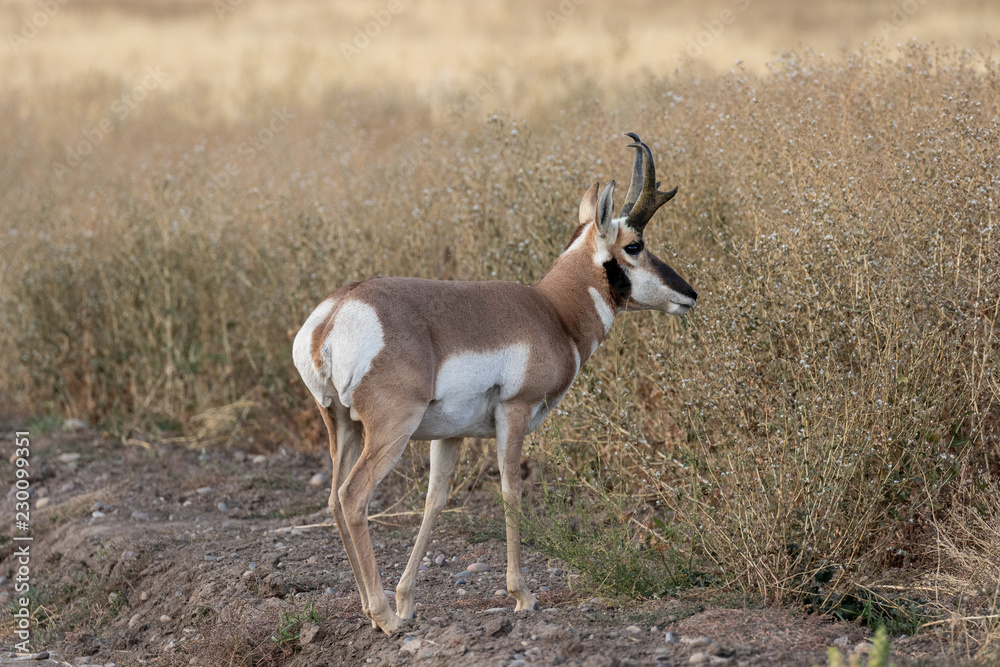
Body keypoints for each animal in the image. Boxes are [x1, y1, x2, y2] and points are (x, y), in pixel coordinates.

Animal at [292, 133, 696, 636]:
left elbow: (435, 501)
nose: (689, 294)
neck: (552, 311)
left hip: (342, 426)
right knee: (352, 497)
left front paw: (407, 600)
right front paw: (523, 596)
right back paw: (383, 617)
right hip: (390, 430)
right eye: (636, 245)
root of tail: (335, 313)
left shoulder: (450, 436)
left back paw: (378, 609)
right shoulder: (515, 413)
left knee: (332, 500)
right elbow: (510, 492)